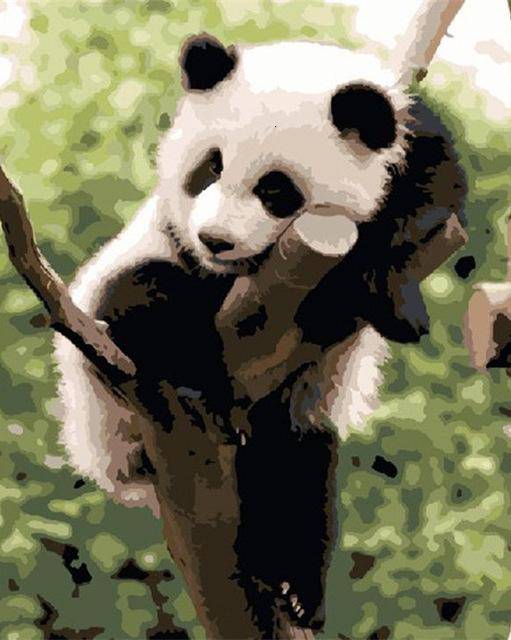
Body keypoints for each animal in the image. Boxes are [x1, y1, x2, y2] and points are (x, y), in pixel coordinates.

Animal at [54, 35, 465, 634]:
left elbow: (430, 201)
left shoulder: (414, 142)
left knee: (297, 472)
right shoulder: (169, 243)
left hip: (295, 409)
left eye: (276, 189)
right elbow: (149, 292)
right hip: (109, 412)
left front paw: (392, 300)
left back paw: (295, 587)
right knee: (145, 297)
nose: (215, 239)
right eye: (209, 168)